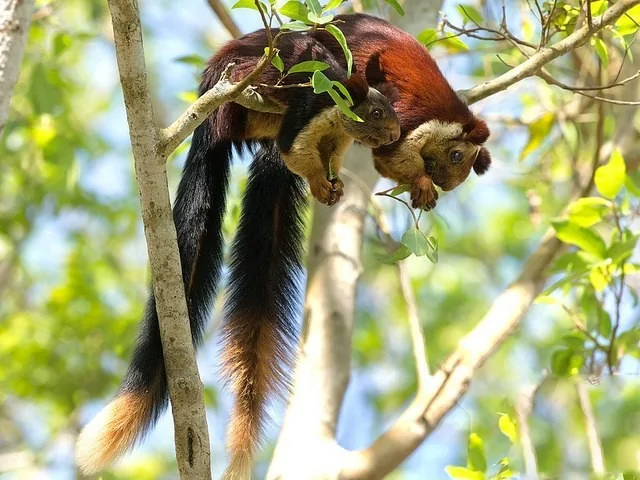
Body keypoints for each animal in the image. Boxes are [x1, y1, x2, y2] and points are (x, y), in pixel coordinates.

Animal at [75, 29, 399, 476]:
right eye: (379, 113)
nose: (396, 134)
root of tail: (209, 114)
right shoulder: (311, 110)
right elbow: (295, 150)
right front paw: (320, 182)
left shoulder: (336, 137)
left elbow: (327, 156)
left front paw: (333, 186)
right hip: (238, 98)